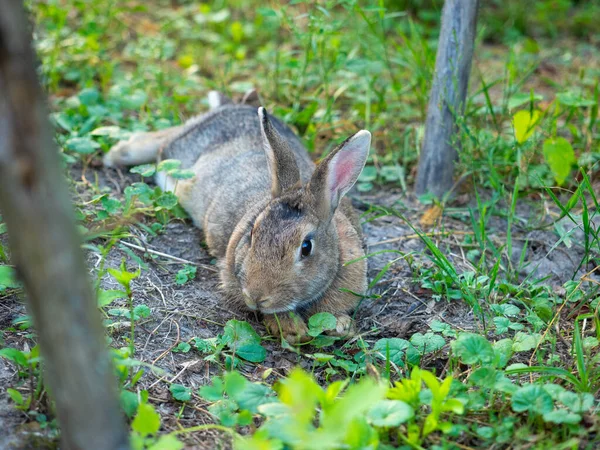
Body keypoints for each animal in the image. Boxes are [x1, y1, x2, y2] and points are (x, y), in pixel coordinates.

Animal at [105, 89, 372, 342]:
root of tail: (230, 107)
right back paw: (116, 153)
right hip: (181, 147)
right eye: (252, 234)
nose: (257, 296)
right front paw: (292, 329)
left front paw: (340, 326)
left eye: (306, 247)